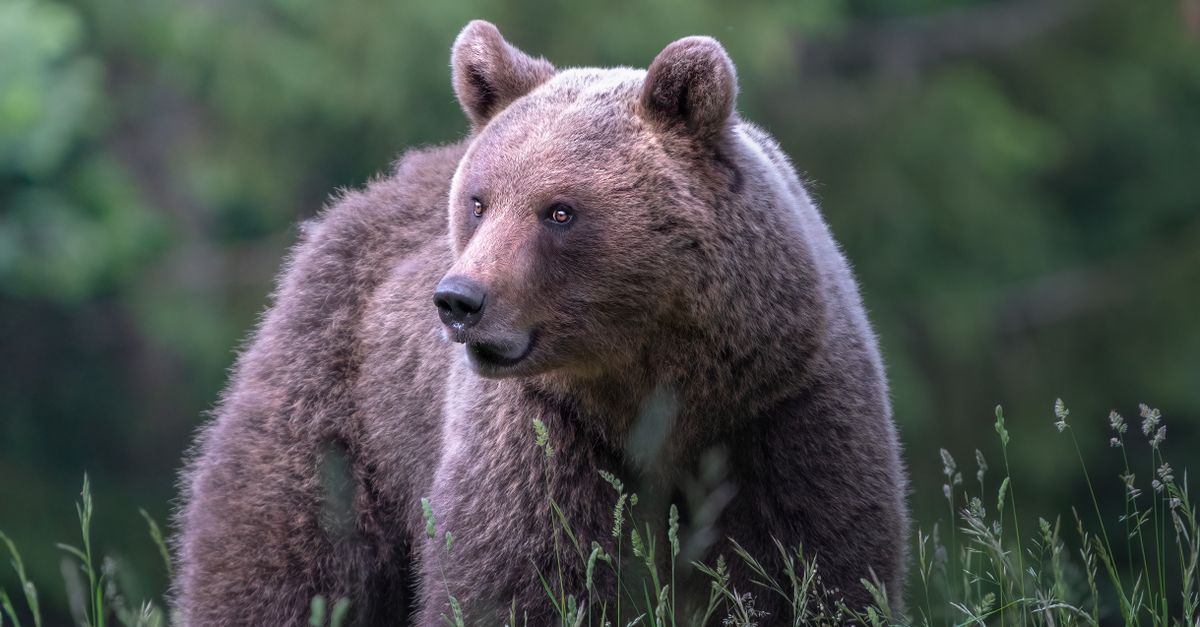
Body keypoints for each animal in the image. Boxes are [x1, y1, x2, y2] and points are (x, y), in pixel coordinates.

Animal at [175, 19, 909, 626]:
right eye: (480, 201)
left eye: (560, 210)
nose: (459, 299)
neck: (659, 386)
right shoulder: (543, 435)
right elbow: (521, 580)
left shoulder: (782, 410)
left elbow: (813, 567)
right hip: (337, 407)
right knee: (283, 559)